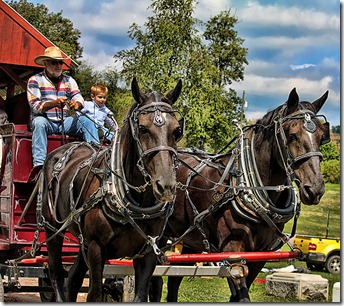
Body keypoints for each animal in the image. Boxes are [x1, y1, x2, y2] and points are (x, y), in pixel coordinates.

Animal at [36, 77, 184, 302]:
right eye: (143, 128)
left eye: (177, 131)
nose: (166, 185)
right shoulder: (96, 248)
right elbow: (95, 294)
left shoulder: (148, 252)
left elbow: (140, 295)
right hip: (53, 228)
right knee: (56, 274)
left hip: (82, 241)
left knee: (73, 278)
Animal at [160, 88, 330, 302]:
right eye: (292, 135)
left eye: (322, 136)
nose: (315, 189)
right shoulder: (232, 254)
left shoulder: (258, 256)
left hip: (191, 241)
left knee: (173, 282)